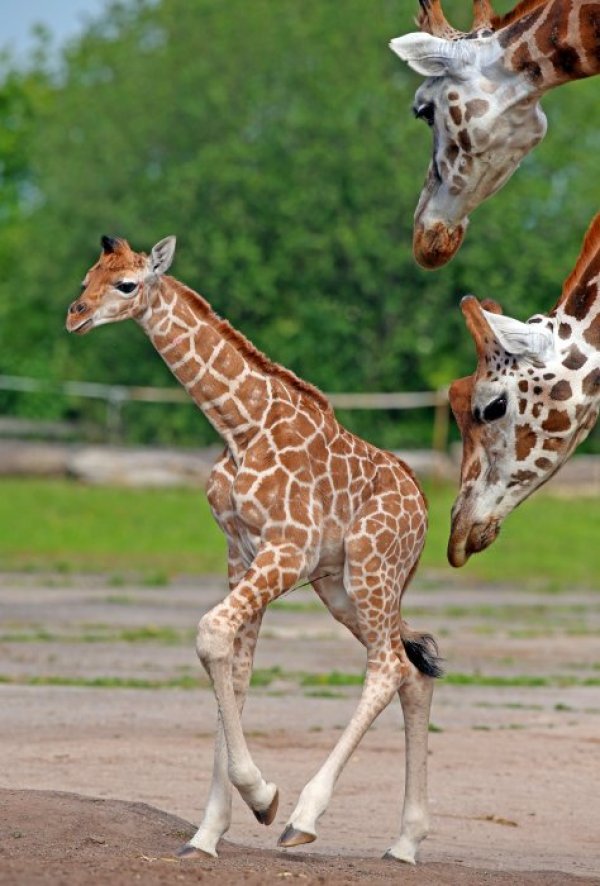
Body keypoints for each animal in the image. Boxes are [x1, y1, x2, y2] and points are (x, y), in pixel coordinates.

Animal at [65, 236, 440, 868]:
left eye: (126, 285)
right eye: (89, 275)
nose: (75, 315)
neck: (241, 428)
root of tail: (425, 511)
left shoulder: (287, 550)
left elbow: (211, 634)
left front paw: (264, 799)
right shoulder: (241, 552)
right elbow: (235, 673)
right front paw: (206, 835)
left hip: (371, 569)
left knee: (388, 665)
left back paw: (305, 818)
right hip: (342, 587)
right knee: (411, 669)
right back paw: (405, 843)